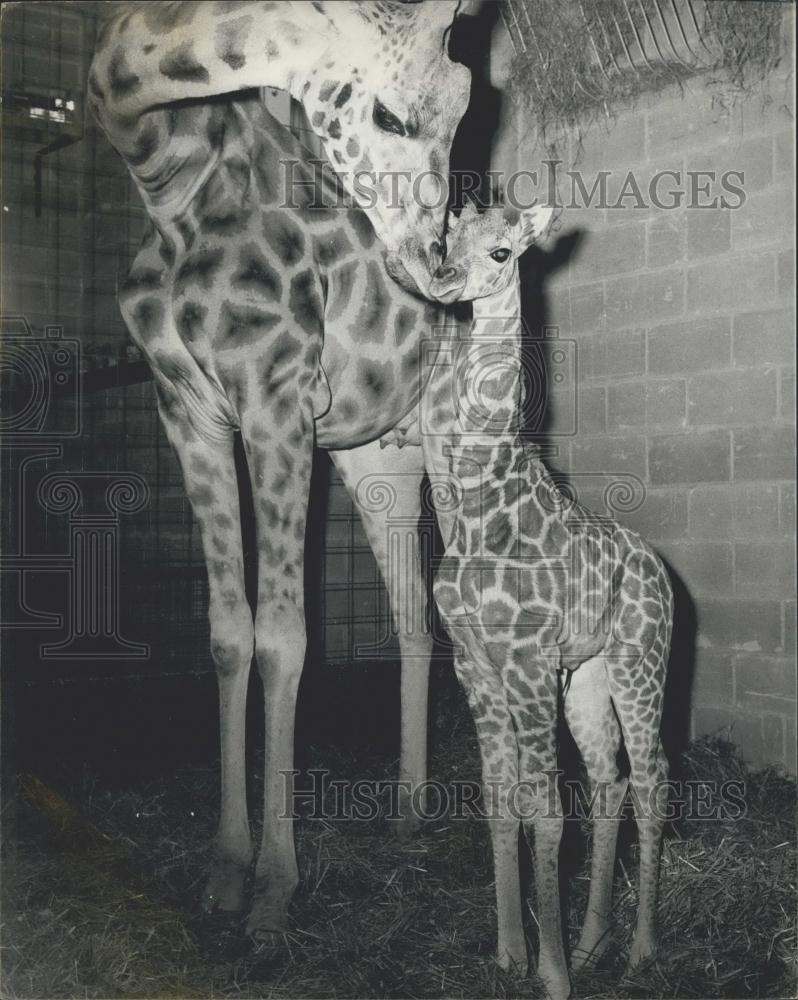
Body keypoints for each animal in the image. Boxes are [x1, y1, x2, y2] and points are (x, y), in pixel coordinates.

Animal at [90, 0, 472, 940]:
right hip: (380, 460)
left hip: (466, 445)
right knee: (417, 617)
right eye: (391, 116)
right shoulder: (187, 410)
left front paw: (272, 892)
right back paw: (409, 814)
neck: (163, 170)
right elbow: (230, 635)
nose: (437, 266)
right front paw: (225, 870)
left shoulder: (275, 395)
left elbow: (285, 639)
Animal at [424, 199, 676, 996]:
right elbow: (502, 806)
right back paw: (596, 943)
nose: (444, 280)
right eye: (445, 237)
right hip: (587, 676)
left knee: (652, 778)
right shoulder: (475, 664)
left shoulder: (528, 663)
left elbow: (546, 816)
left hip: (638, 662)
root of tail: (662, 568)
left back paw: (641, 950)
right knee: (610, 780)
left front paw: (553, 974)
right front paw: (510, 952)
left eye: (504, 251)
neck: (482, 502)